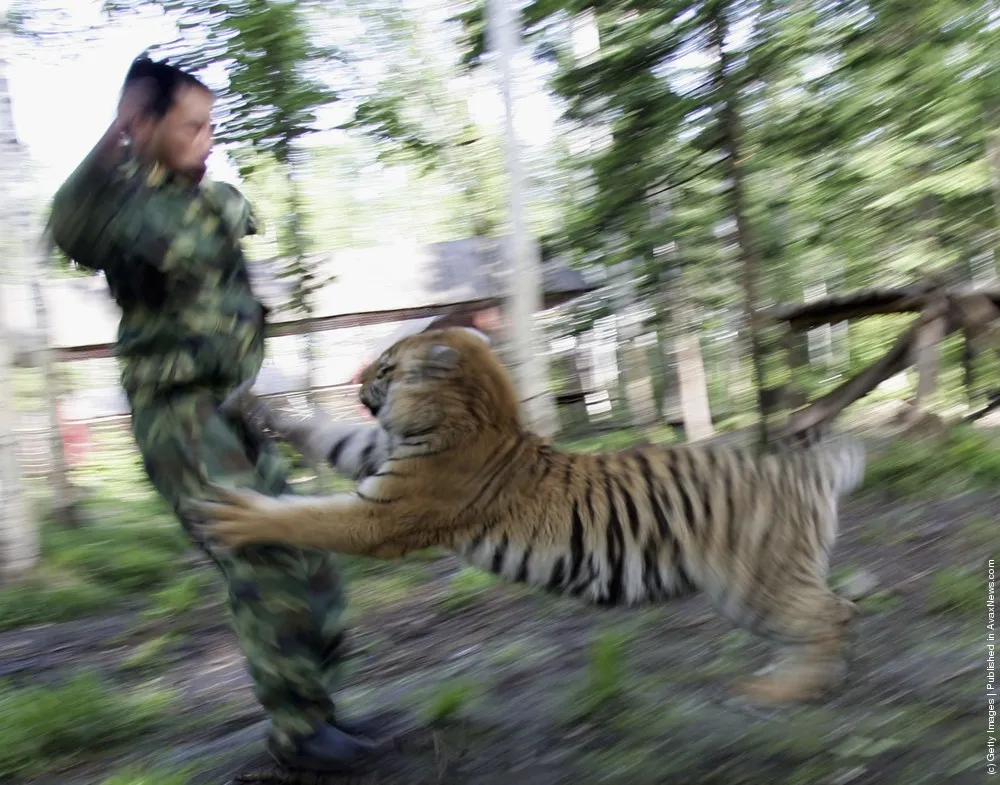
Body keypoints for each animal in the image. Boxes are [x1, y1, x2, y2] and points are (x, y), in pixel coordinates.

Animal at [192, 326, 866, 707]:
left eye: (384, 368)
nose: (360, 391)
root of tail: (806, 469)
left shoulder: (384, 514)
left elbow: (307, 517)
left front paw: (232, 516)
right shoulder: (372, 454)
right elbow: (322, 433)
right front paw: (255, 403)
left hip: (754, 581)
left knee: (834, 613)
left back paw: (782, 690)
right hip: (752, 588)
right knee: (825, 614)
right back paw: (788, 678)